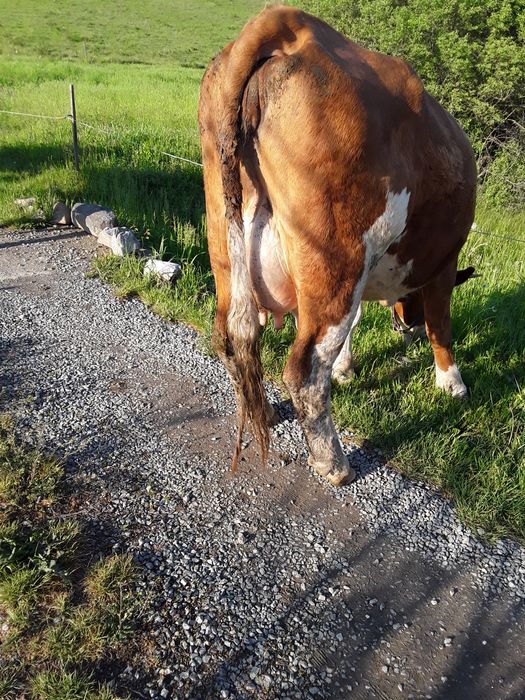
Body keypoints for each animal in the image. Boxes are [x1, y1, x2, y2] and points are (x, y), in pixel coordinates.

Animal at [198, 6, 477, 486]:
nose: (405, 327)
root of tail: (290, 23)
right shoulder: (443, 261)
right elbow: (441, 323)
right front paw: (452, 384)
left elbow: (357, 321)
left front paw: (347, 368)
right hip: (337, 256)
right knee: (306, 367)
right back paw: (334, 463)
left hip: (228, 239)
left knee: (232, 338)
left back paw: (265, 413)